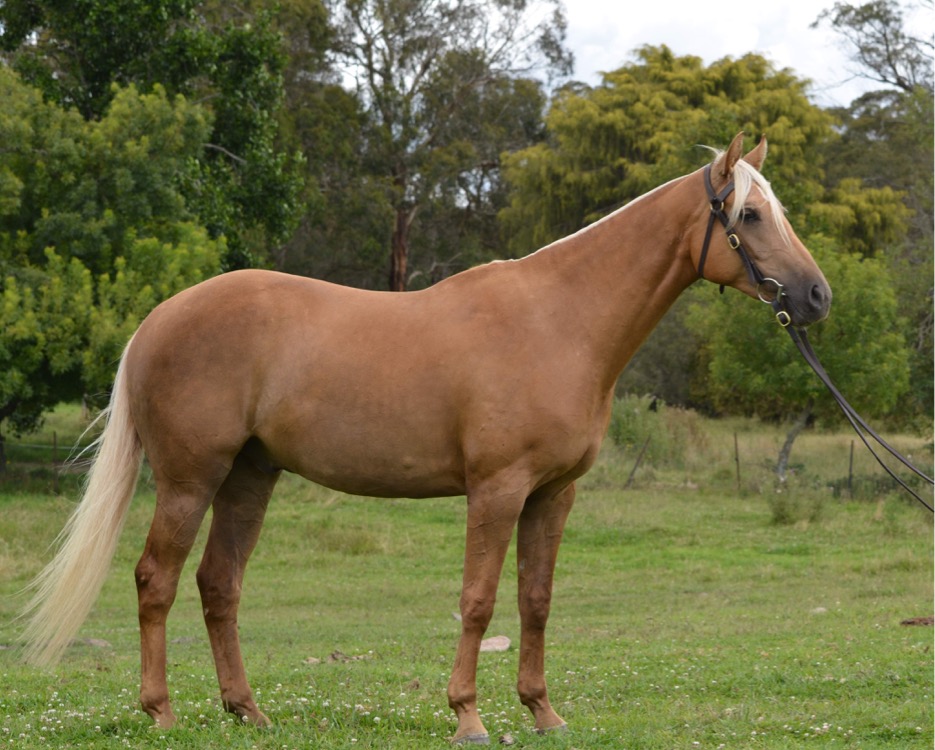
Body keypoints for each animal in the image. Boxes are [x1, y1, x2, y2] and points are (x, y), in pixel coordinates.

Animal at [21, 133, 831, 744]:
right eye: (751, 214)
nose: (817, 297)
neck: (559, 321)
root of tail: (158, 319)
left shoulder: (553, 496)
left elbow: (535, 601)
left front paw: (542, 712)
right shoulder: (496, 490)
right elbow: (477, 600)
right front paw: (468, 717)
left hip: (250, 477)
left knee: (218, 584)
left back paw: (248, 711)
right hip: (191, 479)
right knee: (154, 580)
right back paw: (159, 711)